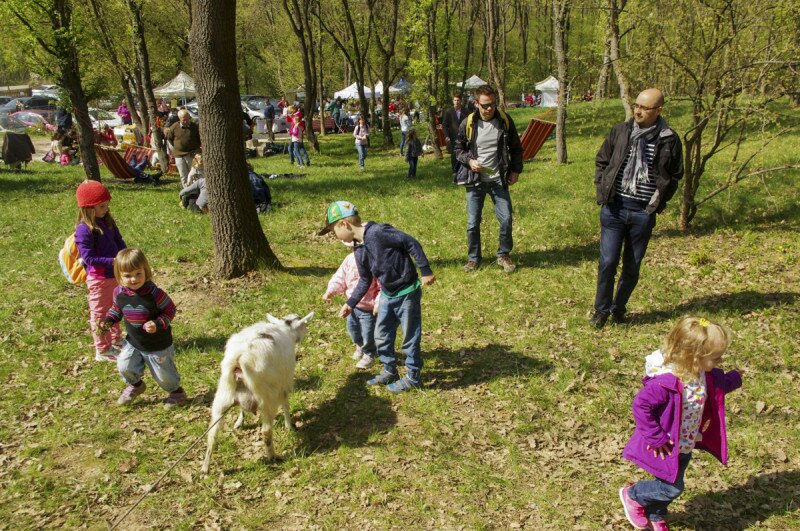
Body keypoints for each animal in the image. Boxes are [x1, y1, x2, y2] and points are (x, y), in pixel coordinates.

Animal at [200, 312, 312, 474]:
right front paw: (289, 426)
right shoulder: (284, 382)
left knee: (212, 434)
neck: (284, 328)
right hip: (267, 398)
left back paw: (205, 469)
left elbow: (241, 409)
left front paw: (239, 422)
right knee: (266, 431)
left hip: (222, 398)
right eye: (303, 324)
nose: (307, 331)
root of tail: (240, 359)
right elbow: (285, 404)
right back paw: (272, 456)